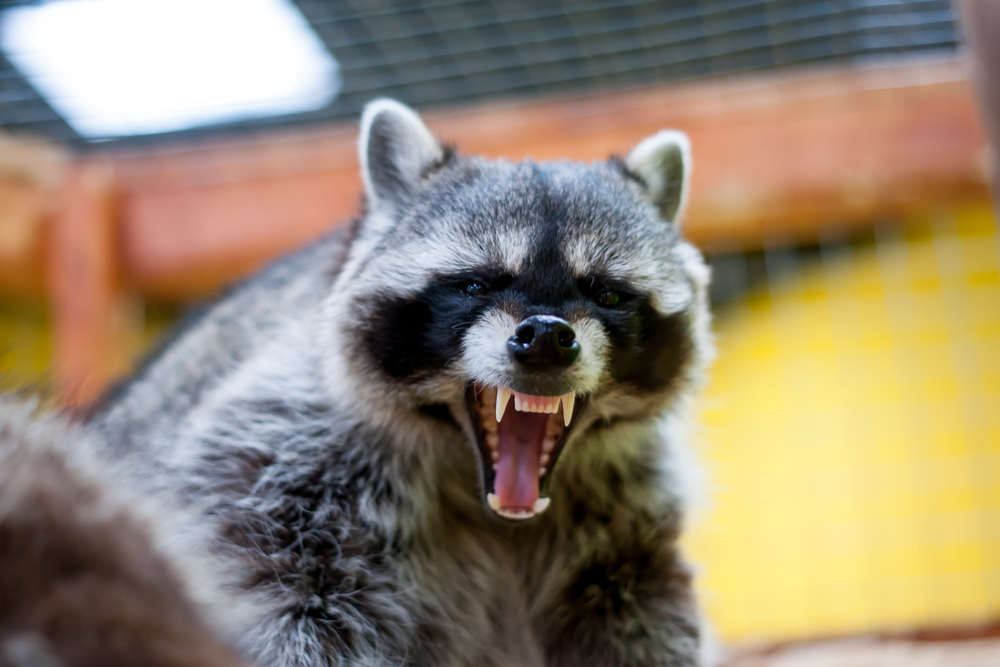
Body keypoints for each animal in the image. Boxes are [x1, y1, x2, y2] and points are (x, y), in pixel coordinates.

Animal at [93, 99, 714, 667]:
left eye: (606, 295)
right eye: (475, 285)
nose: (544, 336)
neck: (489, 501)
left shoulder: (626, 522)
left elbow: (644, 616)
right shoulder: (280, 465)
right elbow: (291, 609)